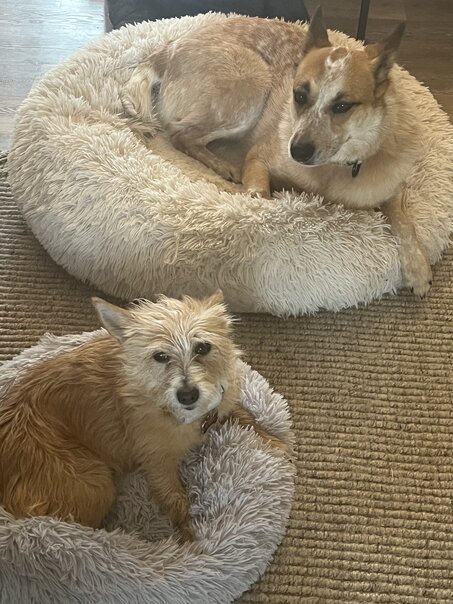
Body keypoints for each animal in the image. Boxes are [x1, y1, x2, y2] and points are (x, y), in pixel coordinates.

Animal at [0, 292, 290, 540]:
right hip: (95, 483)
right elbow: (177, 500)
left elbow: (245, 415)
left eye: (202, 348)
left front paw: (274, 441)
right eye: (160, 356)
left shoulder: (223, 405)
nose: (187, 395)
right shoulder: (158, 464)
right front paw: (190, 540)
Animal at [122, 8, 432, 298]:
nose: (297, 151)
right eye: (299, 95)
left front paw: (417, 267)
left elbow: (404, 222)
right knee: (180, 134)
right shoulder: (260, 157)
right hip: (252, 82)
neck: (333, 170)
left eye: (342, 106)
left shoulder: (392, 187)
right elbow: (260, 195)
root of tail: (167, 50)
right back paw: (224, 167)